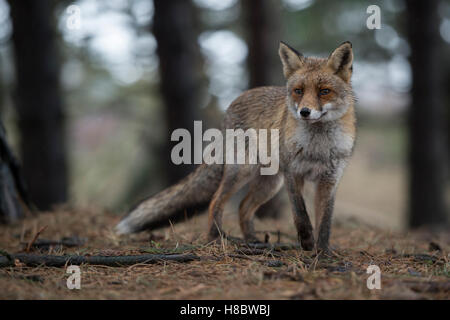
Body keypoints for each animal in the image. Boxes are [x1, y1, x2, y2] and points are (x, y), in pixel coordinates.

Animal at [116, 42, 356, 252]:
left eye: (324, 91)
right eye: (299, 91)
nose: (304, 112)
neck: (318, 146)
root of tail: (232, 103)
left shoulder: (329, 180)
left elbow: (325, 221)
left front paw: (323, 253)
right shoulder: (293, 174)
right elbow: (301, 214)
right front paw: (306, 242)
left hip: (269, 184)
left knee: (243, 208)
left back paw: (252, 239)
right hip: (243, 171)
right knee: (216, 202)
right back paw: (217, 238)